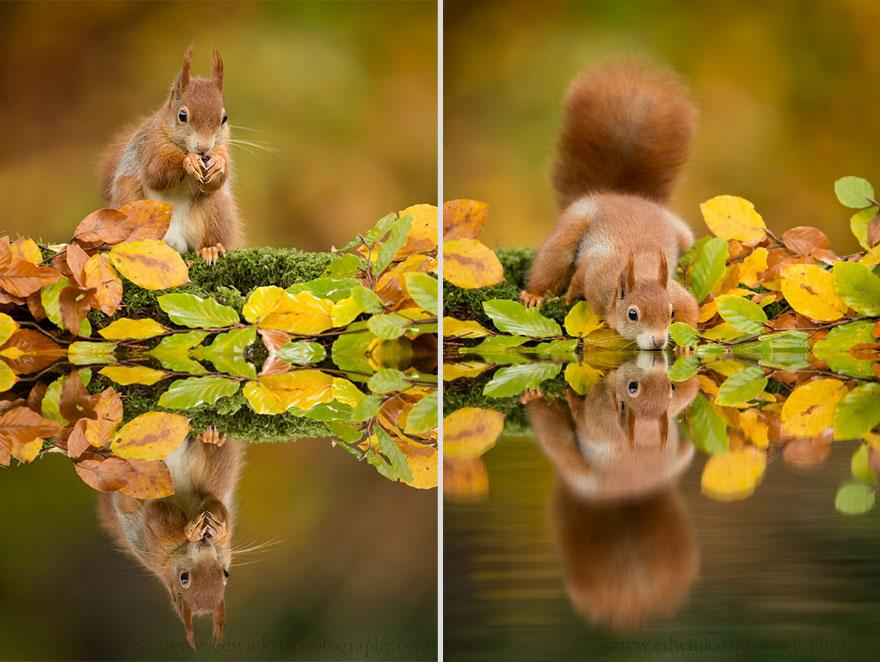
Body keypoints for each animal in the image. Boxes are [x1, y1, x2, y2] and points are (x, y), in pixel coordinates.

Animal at [98, 434, 242, 652]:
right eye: (184, 578)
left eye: (226, 574)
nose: (205, 544)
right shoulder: (157, 543)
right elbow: (160, 515)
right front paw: (190, 530)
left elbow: (216, 505)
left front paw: (218, 528)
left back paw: (211, 437)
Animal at [100, 46, 241, 264]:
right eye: (182, 115)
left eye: (224, 118)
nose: (204, 149)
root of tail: (174, 243)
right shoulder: (152, 146)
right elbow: (156, 173)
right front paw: (188, 161)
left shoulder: (222, 147)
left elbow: (217, 179)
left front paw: (218, 165)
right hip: (128, 196)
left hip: (216, 210)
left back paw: (209, 249)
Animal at [524, 59, 700, 350]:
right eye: (633, 314)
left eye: (671, 312)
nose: (659, 341)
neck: (639, 270)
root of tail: (617, 194)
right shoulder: (595, 275)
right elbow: (577, 279)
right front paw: (568, 299)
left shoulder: (675, 293)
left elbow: (692, 307)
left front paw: (686, 343)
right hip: (570, 229)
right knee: (552, 263)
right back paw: (533, 295)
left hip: (683, 235)